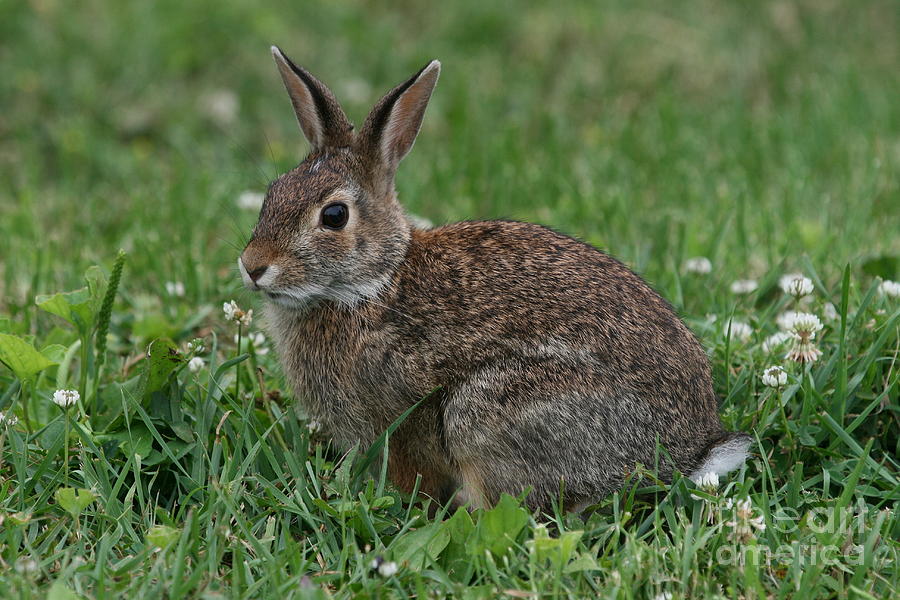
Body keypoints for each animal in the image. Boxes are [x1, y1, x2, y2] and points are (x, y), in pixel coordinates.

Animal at [239, 47, 752, 512]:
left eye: (334, 215)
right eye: (272, 193)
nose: (252, 265)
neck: (374, 283)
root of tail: (687, 455)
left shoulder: (404, 416)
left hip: (489, 408)